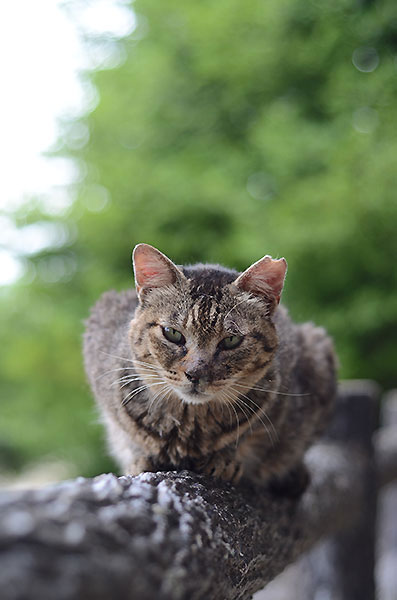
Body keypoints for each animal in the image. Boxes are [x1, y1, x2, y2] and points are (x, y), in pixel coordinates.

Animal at [83, 241, 334, 494]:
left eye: (231, 340)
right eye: (172, 334)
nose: (195, 374)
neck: (188, 425)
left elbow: (252, 437)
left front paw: (225, 460)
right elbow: (127, 434)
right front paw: (140, 458)